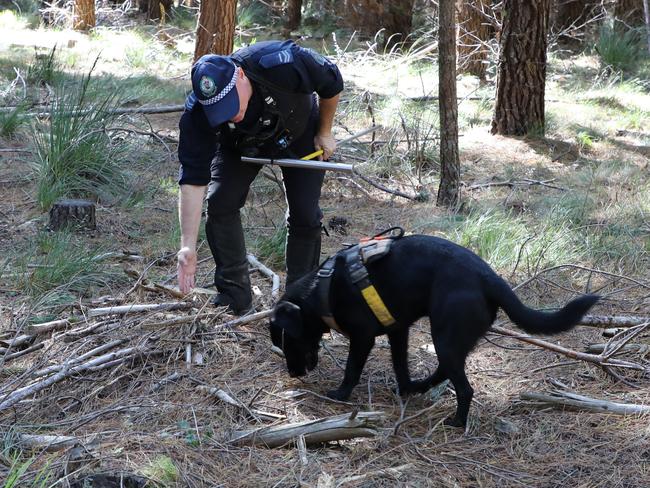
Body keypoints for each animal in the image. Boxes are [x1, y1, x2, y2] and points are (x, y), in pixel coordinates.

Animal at [270, 234, 596, 426]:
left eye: (286, 342)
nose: (293, 374)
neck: (320, 290)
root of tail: (489, 277)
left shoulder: (362, 338)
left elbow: (352, 369)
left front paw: (340, 394)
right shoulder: (398, 331)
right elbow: (400, 365)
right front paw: (404, 389)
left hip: (445, 336)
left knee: (464, 387)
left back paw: (457, 422)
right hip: (450, 338)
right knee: (443, 370)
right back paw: (420, 386)